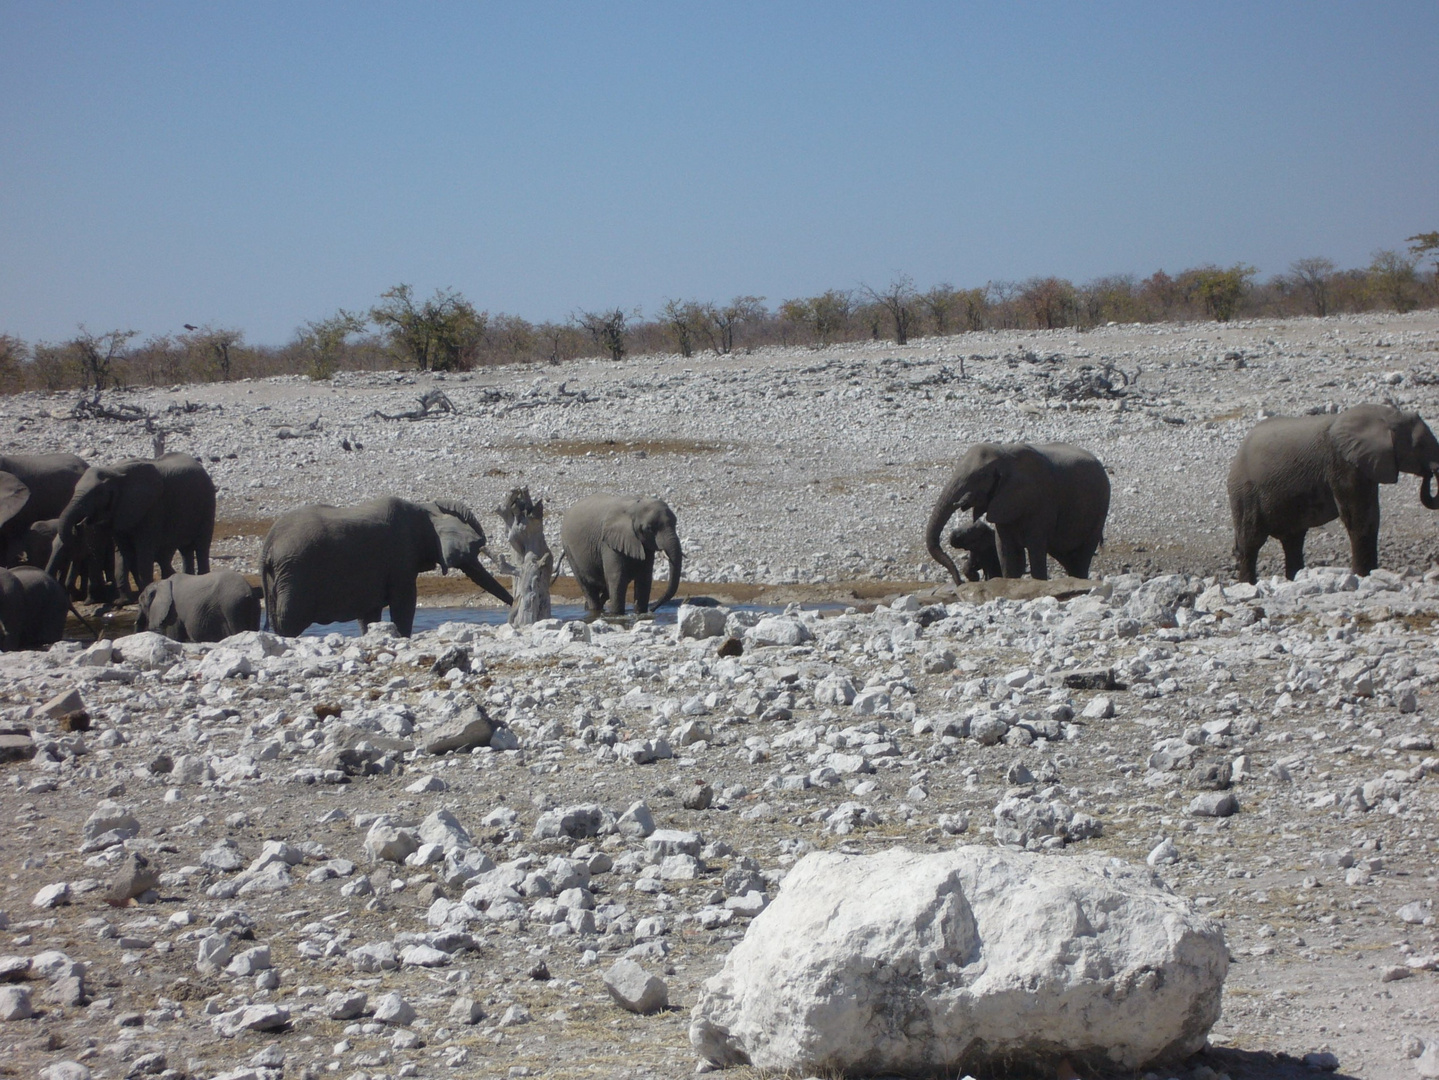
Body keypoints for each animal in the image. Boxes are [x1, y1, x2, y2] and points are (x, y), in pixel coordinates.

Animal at [48, 448, 214, 601]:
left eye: (97, 493)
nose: (79, 526)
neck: (113, 471)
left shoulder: (152, 507)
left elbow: (144, 550)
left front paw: (145, 593)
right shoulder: (119, 511)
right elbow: (124, 551)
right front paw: (125, 600)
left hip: (207, 503)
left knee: (201, 546)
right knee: (186, 549)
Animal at [135, 569, 264, 647]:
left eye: (141, 604)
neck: (161, 583)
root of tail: (249, 591)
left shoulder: (173, 612)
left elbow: (175, 637)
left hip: (232, 607)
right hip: (253, 606)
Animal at [261, 500, 515, 641]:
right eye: (475, 548)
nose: (512, 611)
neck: (425, 510)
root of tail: (268, 544)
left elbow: (370, 614)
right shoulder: (401, 558)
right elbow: (405, 603)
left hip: (281, 576)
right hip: (295, 574)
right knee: (289, 619)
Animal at [1226, 402, 1439, 583]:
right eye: (1420, 445)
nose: (1429, 473)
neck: (1386, 415)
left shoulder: (1363, 466)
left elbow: (1370, 516)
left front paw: (1370, 573)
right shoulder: (1341, 464)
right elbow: (1357, 518)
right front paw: (1362, 575)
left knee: (1293, 541)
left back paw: (1294, 578)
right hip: (1244, 493)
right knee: (1251, 543)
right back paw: (1247, 584)